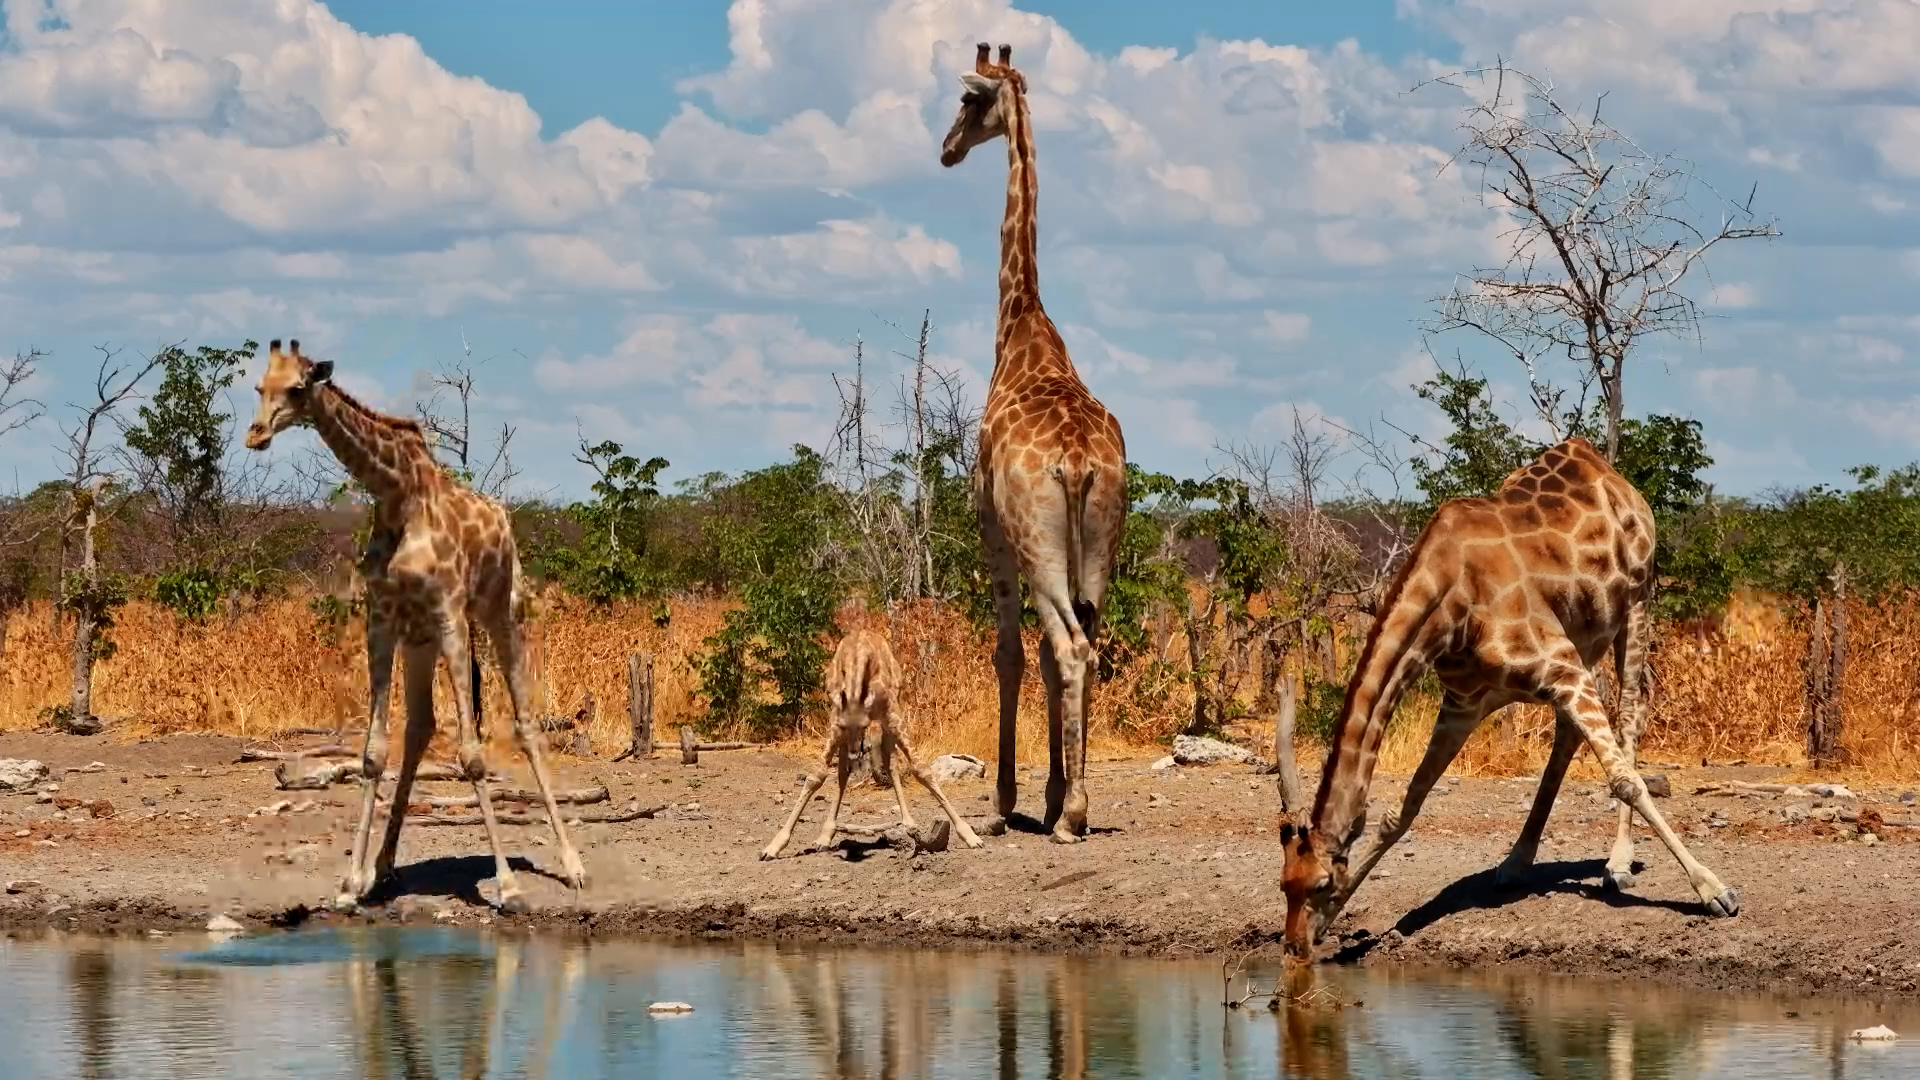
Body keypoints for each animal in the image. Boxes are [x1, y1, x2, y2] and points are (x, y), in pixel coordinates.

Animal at [244, 339, 585, 912]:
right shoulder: (382, 618)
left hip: (496, 613)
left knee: (526, 723)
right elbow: (372, 754)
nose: (256, 434)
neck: (396, 492)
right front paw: (349, 884)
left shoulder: (449, 612)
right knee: (421, 726)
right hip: (420, 640)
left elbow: (472, 755)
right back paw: (382, 868)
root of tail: (506, 522)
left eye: (297, 387)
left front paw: (509, 887)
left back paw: (573, 864)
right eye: (257, 386)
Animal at [761, 627, 984, 859]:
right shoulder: (836, 721)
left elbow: (921, 769)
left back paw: (908, 823)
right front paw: (774, 845)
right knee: (844, 771)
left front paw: (970, 836)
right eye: (845, 724)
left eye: (864, 723)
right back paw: (825, 835)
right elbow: (816, 776)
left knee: (890, 762)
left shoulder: (892, 714)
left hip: (891, 714)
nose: (855, 750)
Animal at [1276, 437, 1738, 957]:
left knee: (1631, 717)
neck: (1449, 602)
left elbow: (1626, 781)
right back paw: (1517, 861)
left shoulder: (1560, 666)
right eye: (1284, 884)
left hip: (1638, 600)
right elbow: (1402, 810)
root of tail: (1595, 457)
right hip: (1585, 637)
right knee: (1568, 735)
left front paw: (1714, 890)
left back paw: (1618, 863)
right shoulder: (1464, 703)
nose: (1295, 946)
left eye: (1317, 884)